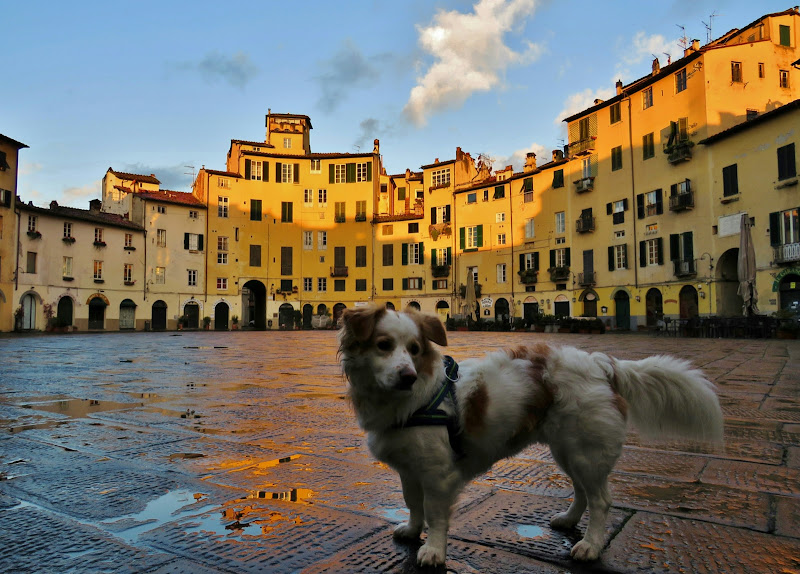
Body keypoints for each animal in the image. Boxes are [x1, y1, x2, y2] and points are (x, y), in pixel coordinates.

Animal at [338, 308, 724, 568]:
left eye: (415, 350)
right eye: (384, 345)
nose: (408, 376)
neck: (410, 400)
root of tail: (602, 364)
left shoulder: (438, 474)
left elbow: (435, 513)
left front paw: (433, 549)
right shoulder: (409, 470)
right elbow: (412, 503)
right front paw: (411, 529)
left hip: (585, 452)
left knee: (601, 500)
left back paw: (590, 546)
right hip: (568, 450)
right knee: (582, 491)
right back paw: (568, 521)